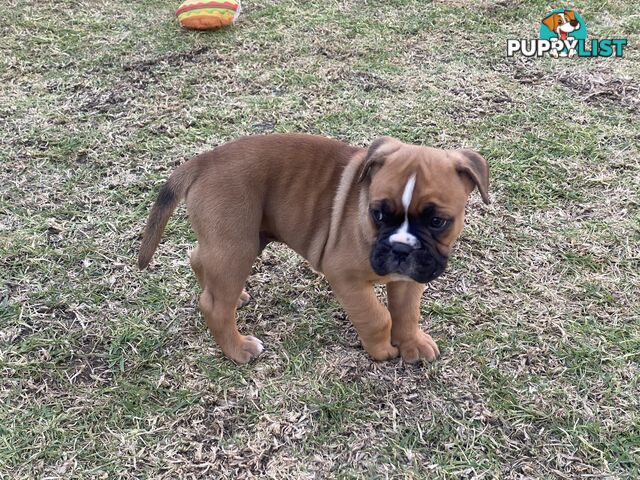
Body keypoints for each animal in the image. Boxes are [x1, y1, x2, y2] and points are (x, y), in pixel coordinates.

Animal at [140, 133, 490, 362]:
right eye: (377, 213)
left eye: (438, 222)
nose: (401, 250)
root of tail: (204, 161)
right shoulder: (346, 278)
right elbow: (377, 317)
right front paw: (382, 350)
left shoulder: (409, 278)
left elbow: (406, 312)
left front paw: (412, 344)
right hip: (236, 245)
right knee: (213, 305)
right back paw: (238, 350)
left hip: (234, 242)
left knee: (200, 259)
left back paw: (234, 296)